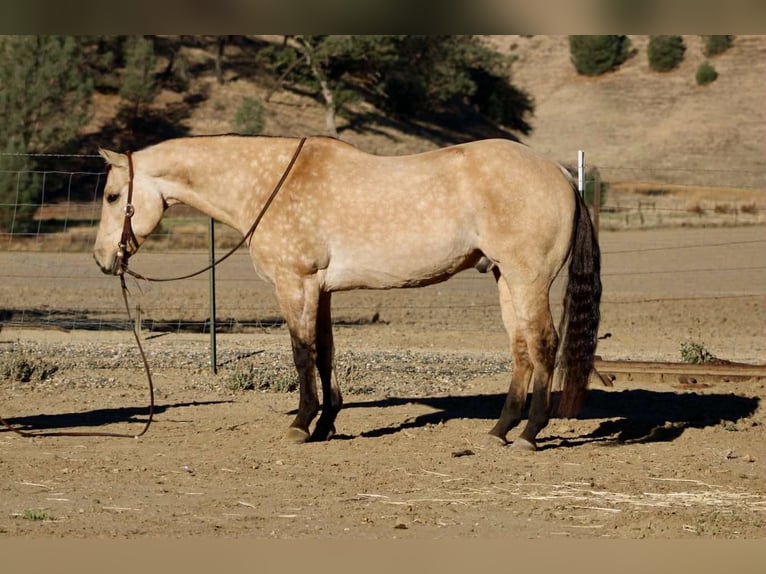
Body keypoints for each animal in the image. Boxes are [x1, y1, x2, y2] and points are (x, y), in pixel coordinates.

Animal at [93, 135, 601, 450]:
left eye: (113, 196)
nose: (102, 260)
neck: (270, 183)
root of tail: (560, 174)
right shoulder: (320, 289)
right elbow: (325, 353)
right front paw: (326, 424)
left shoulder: (294, 283)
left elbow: (301, 354)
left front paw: (301, 425)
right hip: (505, 278)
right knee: (521, 349)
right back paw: (500, 429)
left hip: (528, 277)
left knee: (544, 345)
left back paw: (530, 434)